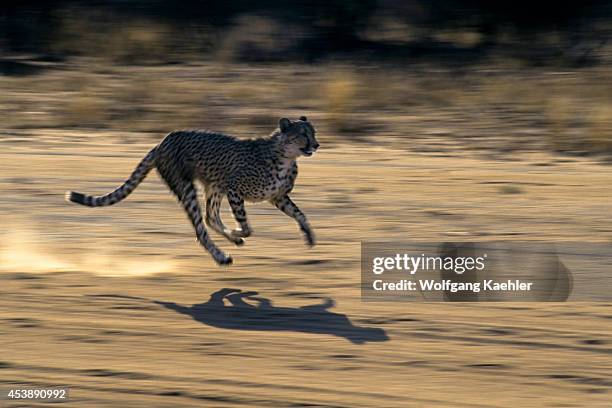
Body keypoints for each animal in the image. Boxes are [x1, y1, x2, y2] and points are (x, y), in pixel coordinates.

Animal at [67, 116, 320, 266]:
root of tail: (163, 140)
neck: (284, 156)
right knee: (201, 228)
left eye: (313, 132)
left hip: (214, 185)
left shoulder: (277, 197)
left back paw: (231, 242)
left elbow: (300, 214)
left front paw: (309, 236)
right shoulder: (235, 189)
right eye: (303, 134)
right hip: (188, 187)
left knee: (209, 217)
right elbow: (247, 227)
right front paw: (238, 231)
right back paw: (221, 256)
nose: (317, 145)